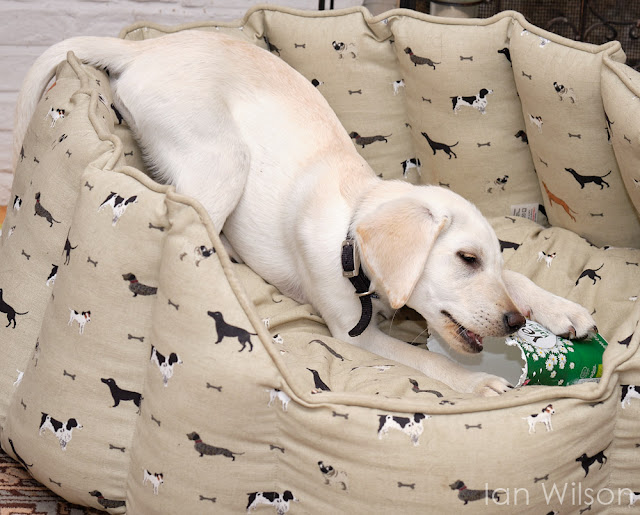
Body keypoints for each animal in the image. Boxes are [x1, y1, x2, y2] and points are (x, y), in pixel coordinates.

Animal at [13, 31, 597, 395]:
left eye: (490, 261)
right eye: (466, 259)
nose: (515, 323)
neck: (351, 234)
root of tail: (144, 47)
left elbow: (519, 279)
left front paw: (561, 309)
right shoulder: (353, 334)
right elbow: (430, 358)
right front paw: (477, 382)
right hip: (225, 161)